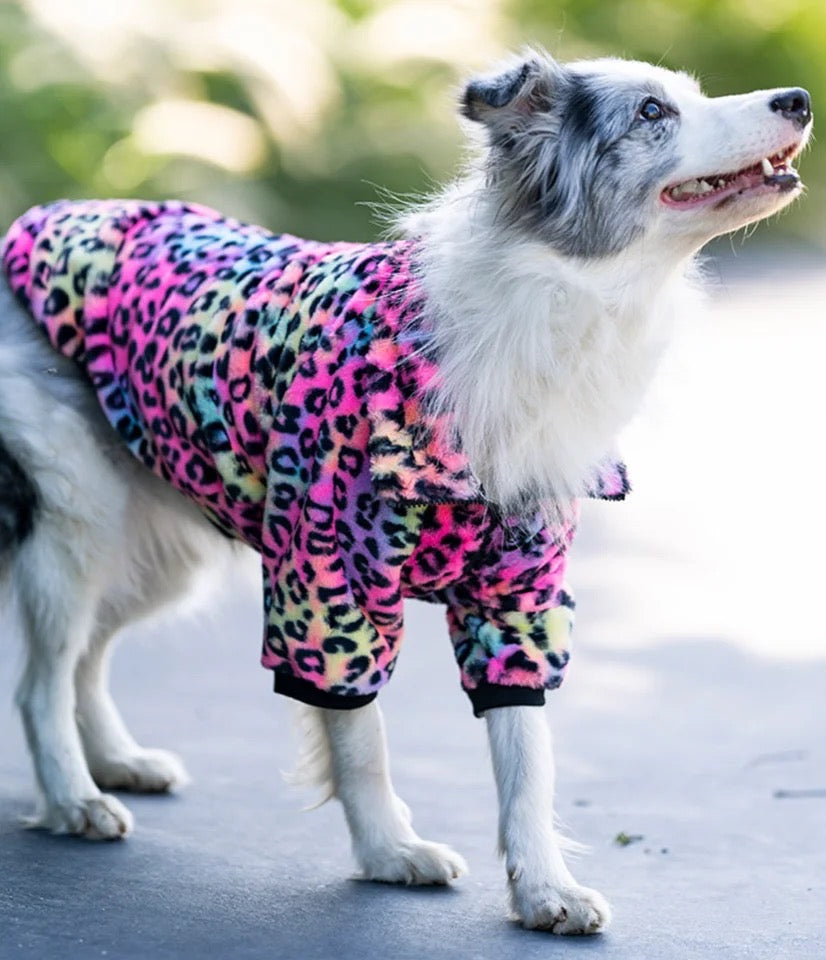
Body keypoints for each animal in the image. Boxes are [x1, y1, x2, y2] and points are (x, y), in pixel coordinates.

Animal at [0, 48, 812, 932]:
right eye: (653, 112)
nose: (800, 99)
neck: (552, 301)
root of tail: (45, 216)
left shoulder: (519, 596)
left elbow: (529, 756)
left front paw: (544, 888)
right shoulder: (326, 586)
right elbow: (362, 740)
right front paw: (389, 853)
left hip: (159, 543)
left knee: (85, 658)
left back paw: (115, 762)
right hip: (77, 522)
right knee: (40, 680)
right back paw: (73, 798)